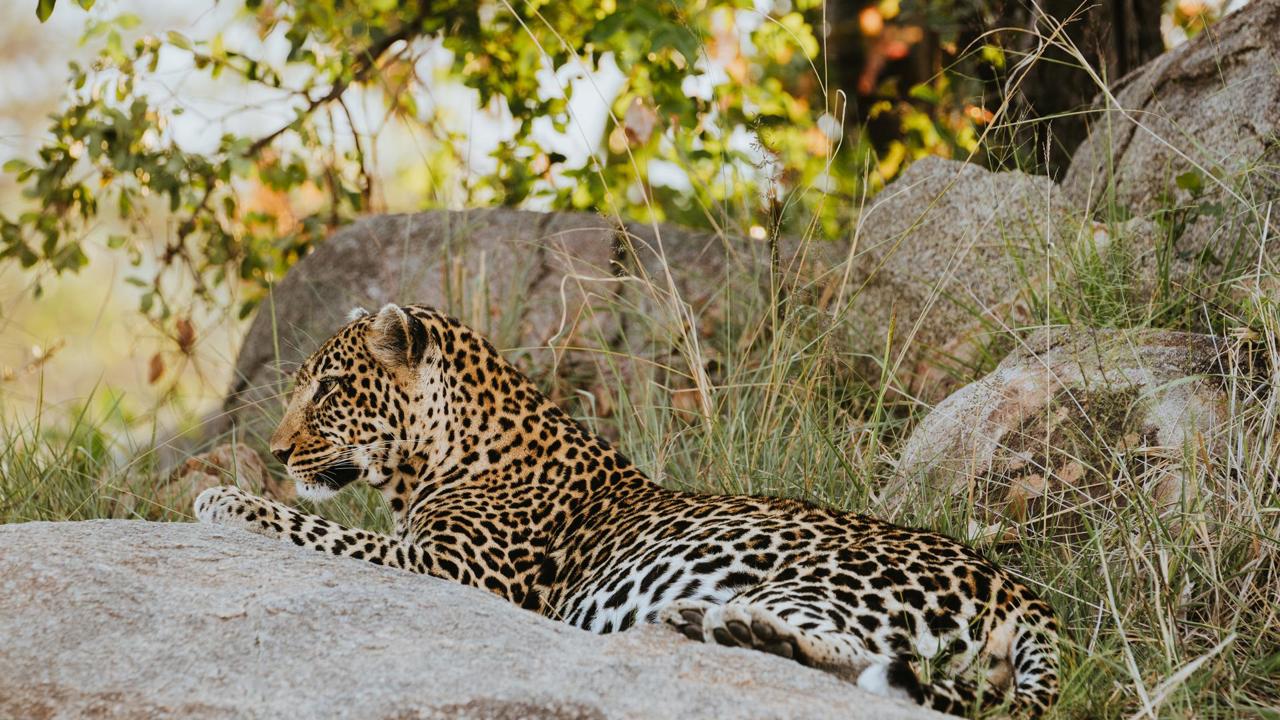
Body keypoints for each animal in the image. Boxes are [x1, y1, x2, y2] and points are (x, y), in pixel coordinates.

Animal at [196, 303, 1059, 717]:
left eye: (330, 389)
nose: (276, 451)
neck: (438, 458)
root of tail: (1022, 590)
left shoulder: (452, 570)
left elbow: (318, 527)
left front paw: (224, 498)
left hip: (818, 578)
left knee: (855, 665)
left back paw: (728, 629)